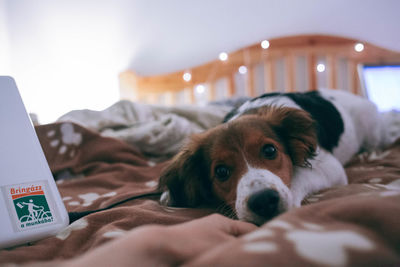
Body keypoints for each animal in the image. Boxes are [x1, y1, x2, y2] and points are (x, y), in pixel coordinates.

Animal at [158, 89, 396, 225]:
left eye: (270, 151)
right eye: (221, 171)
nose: (263, 202)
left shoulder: (331, 167)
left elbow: (299, 175)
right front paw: (169, 194)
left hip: (374, 132)